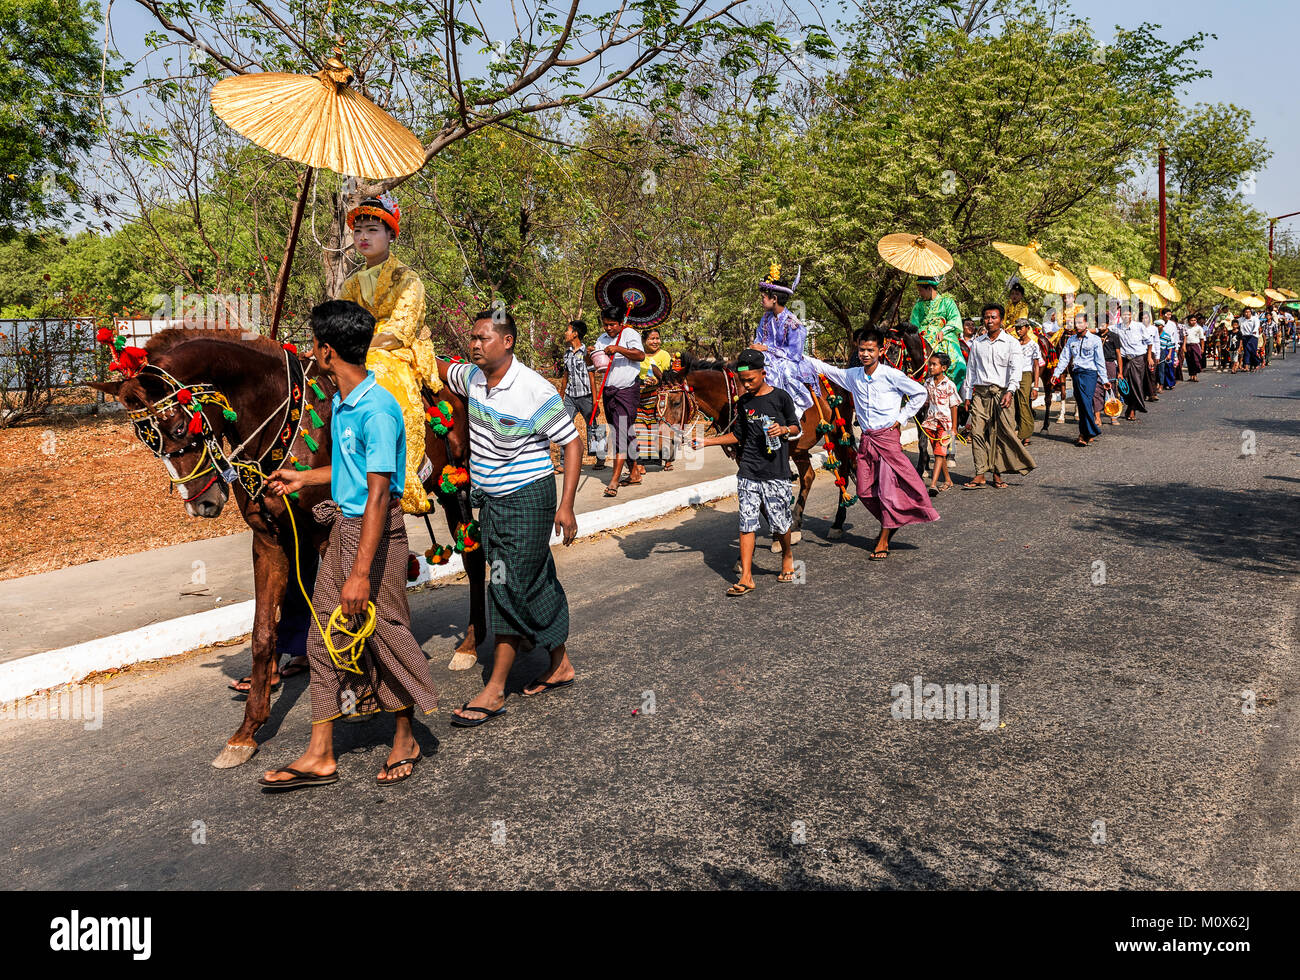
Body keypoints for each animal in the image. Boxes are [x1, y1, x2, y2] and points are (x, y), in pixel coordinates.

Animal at [90, 332, 488, 769]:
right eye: (147, 442)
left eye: (180, 426)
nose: (202, 503)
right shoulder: (269, 540)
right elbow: (264, 632)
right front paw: (247, 730)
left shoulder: (330, 532)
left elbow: (339, 618)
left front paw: (357, 693)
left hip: (456, 486)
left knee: (473, 555)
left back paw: (470, 645)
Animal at [660, 356, 863, 543]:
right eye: (656, 403)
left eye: (676, 402)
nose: (664, 445)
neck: (732, 397)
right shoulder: (742, 457)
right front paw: (777, 535)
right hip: (800, 447)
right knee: (808, 476)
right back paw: (796, 522)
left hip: (837, 434)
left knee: (843, 472)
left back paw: (837, 524)